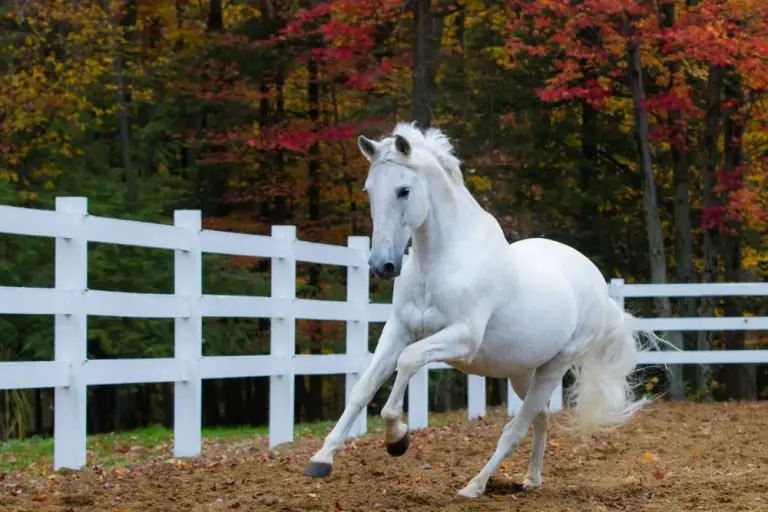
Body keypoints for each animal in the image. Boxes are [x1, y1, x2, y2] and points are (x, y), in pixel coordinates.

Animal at [303, 121, 656, 498]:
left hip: (553, 368)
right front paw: (321, 459)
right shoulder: (399, 329)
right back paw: (532, 480)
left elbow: (408, 362)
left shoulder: (463, 338)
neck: (440, 262)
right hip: (523, 372)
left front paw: (397, 439)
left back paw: (475, 485)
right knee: (540, 418)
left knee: (516, 428)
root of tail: (597, 285)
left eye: (403, 190)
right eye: (369, 190)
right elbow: (363, 388)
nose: (381, 265)